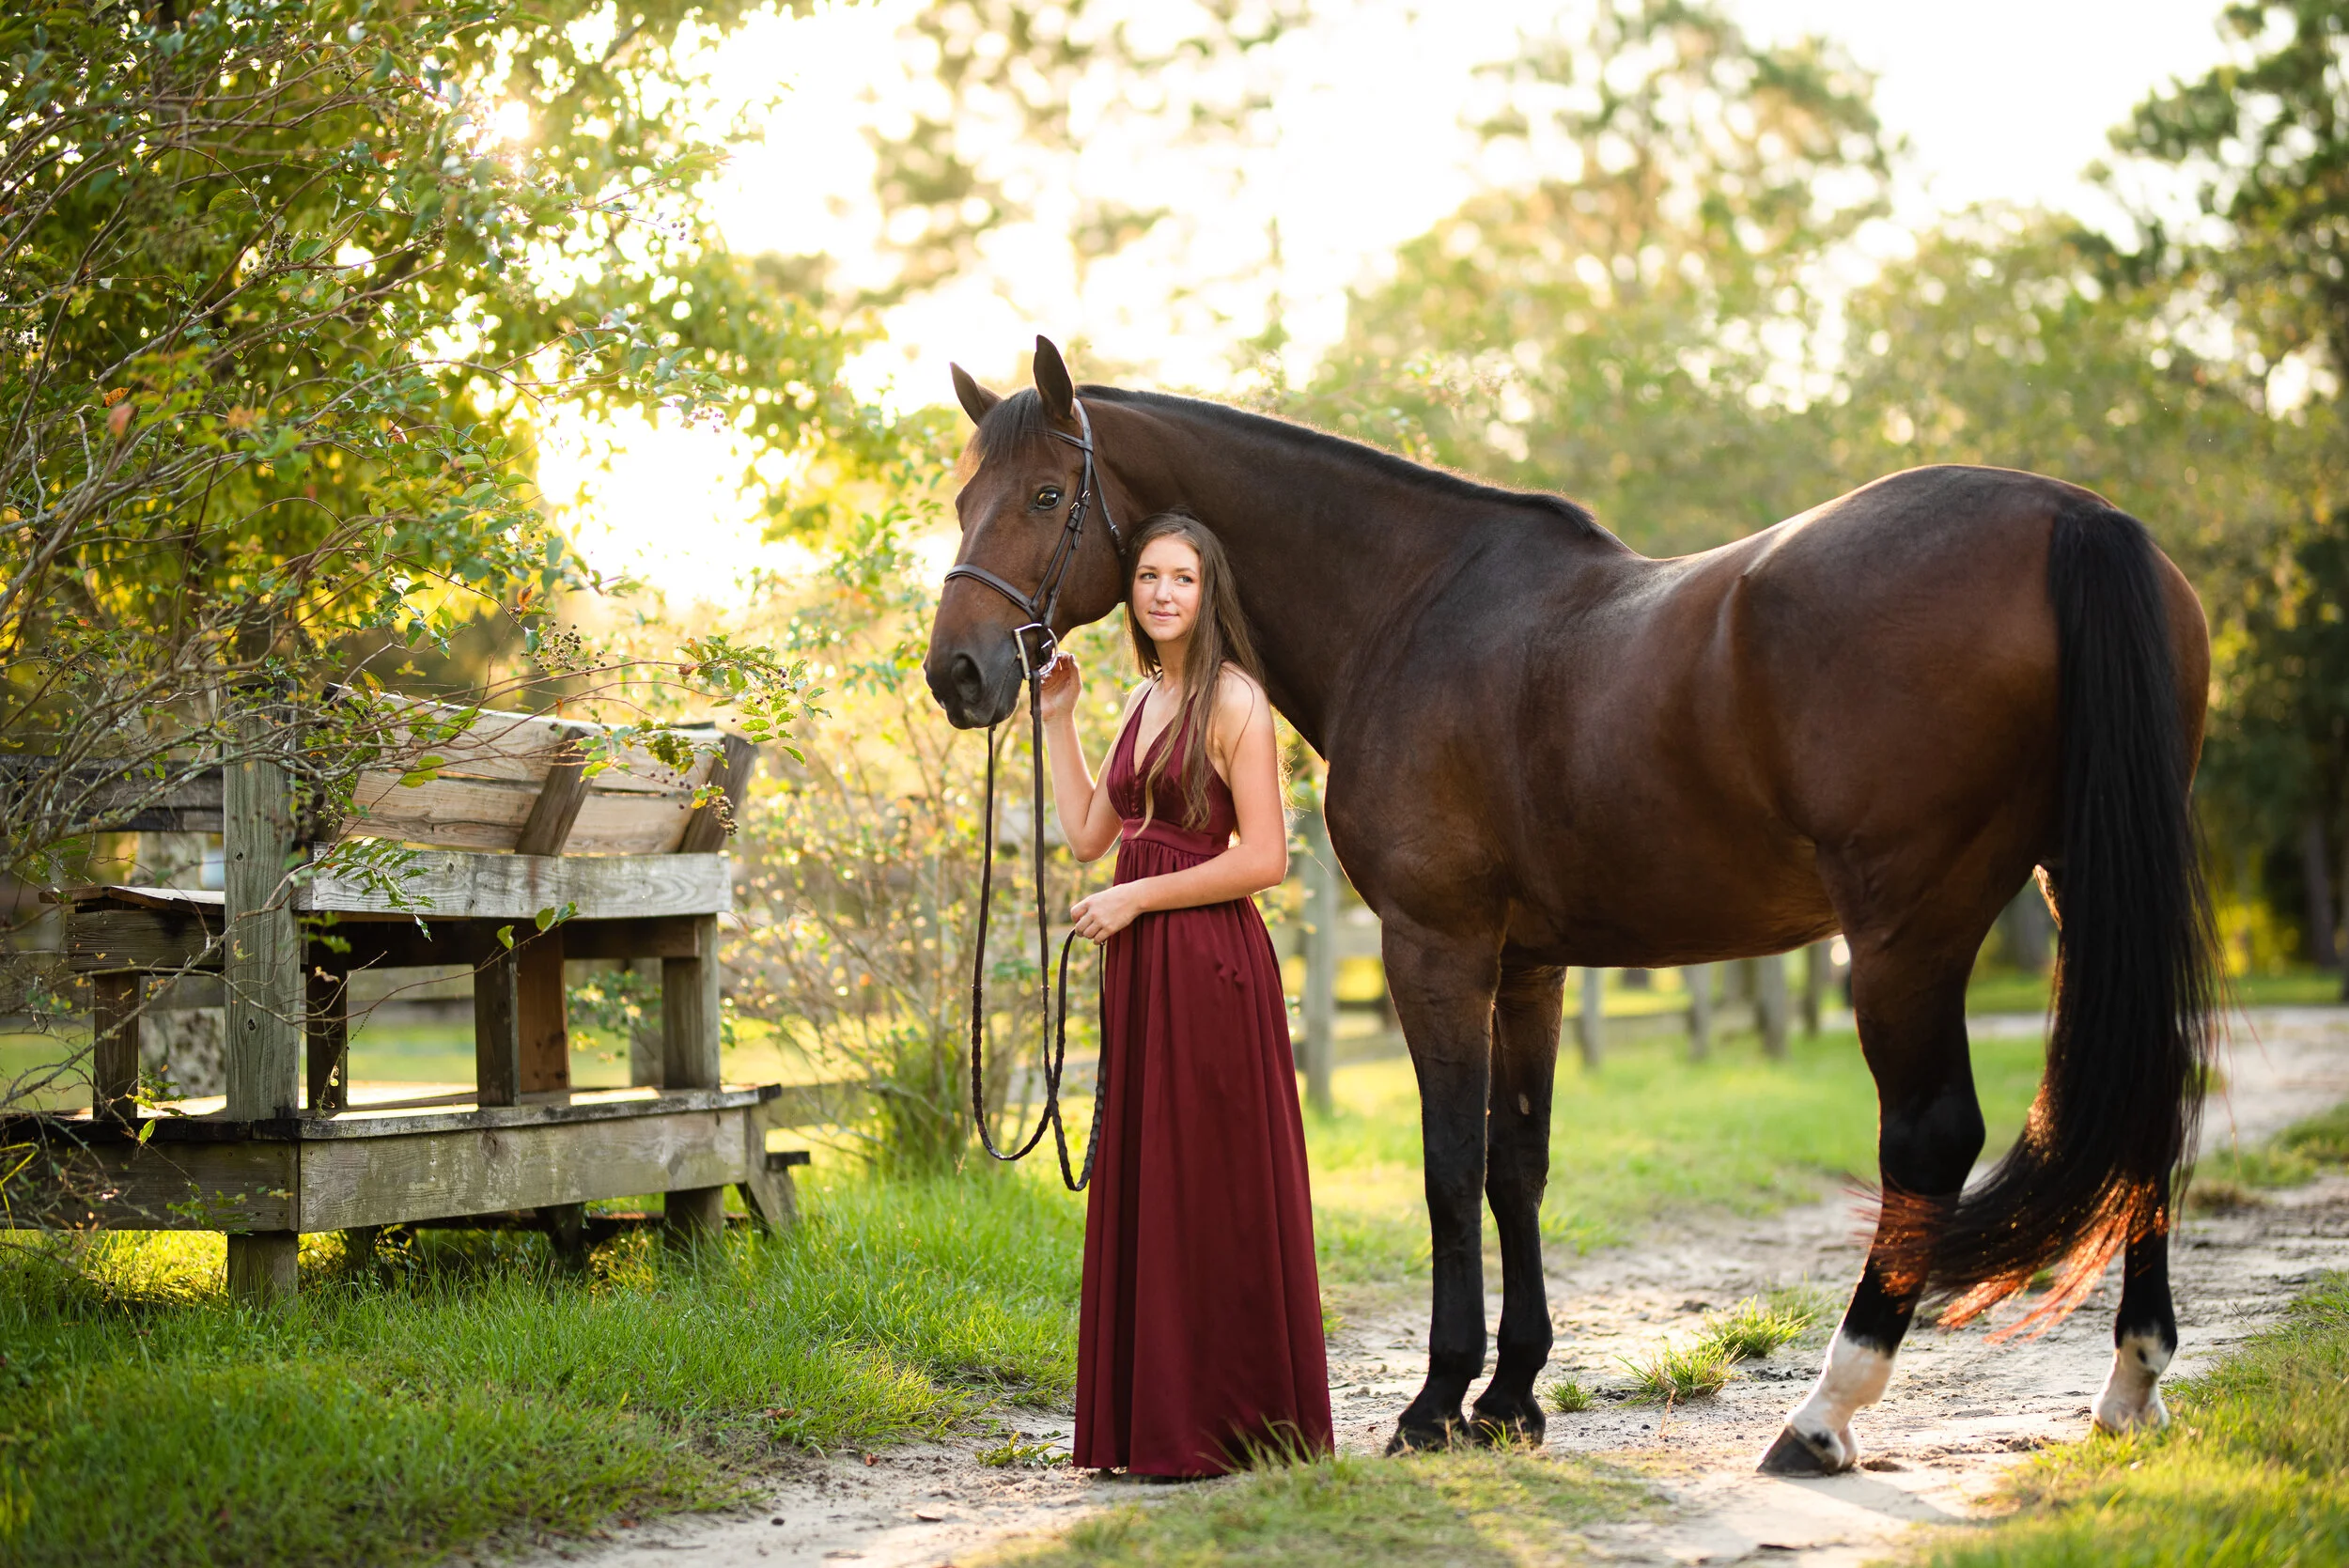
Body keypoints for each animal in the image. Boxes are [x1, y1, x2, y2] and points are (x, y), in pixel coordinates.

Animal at [922, 336, 2215, 1474]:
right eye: (960, 493)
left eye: (1047, 493)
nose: (959, 674)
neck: (1409, 607)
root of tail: (2075, 520)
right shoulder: (1528, 964)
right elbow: (1518, 1163)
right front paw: (1512, 1397)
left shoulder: (1436, 946)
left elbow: (1448, 1167)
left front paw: (1437, 1402)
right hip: (2081, 885)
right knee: (2148, 1095)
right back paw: (2129, 1384)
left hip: (1908, 927)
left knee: (1929, 1138)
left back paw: (1820, 1415)